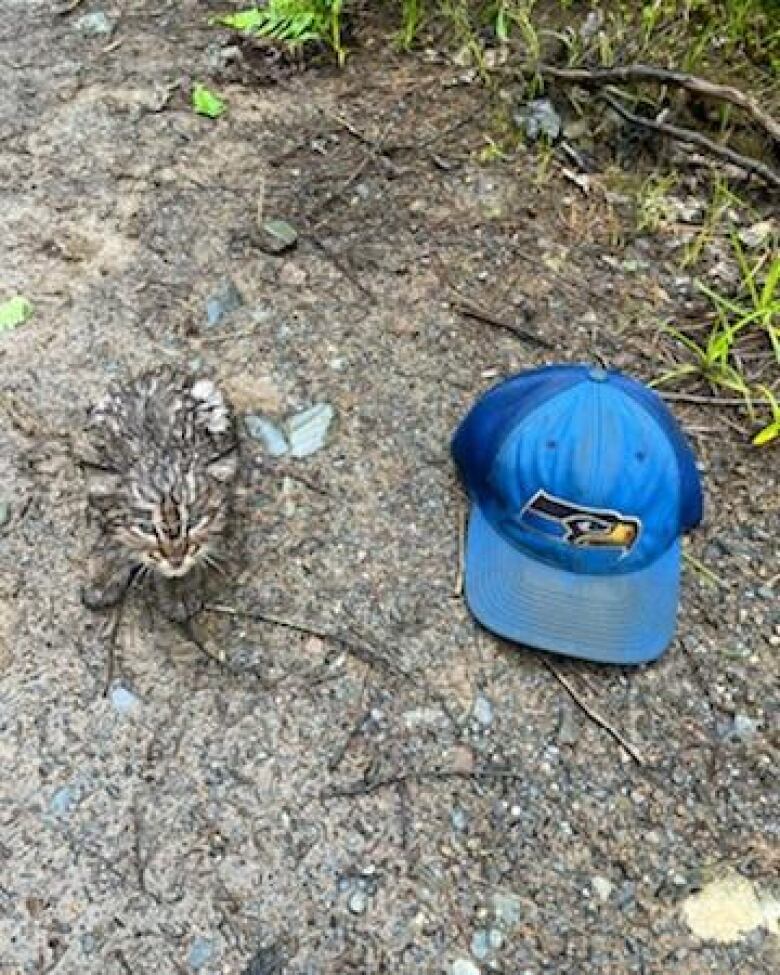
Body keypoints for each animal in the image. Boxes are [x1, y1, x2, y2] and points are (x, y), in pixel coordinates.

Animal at [79, 366, 239, 624]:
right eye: (146, 528)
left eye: (194, 522)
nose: (175, 559)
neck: (158, 451)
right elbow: (112, 538)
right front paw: (103, 577)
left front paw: (180, 590)